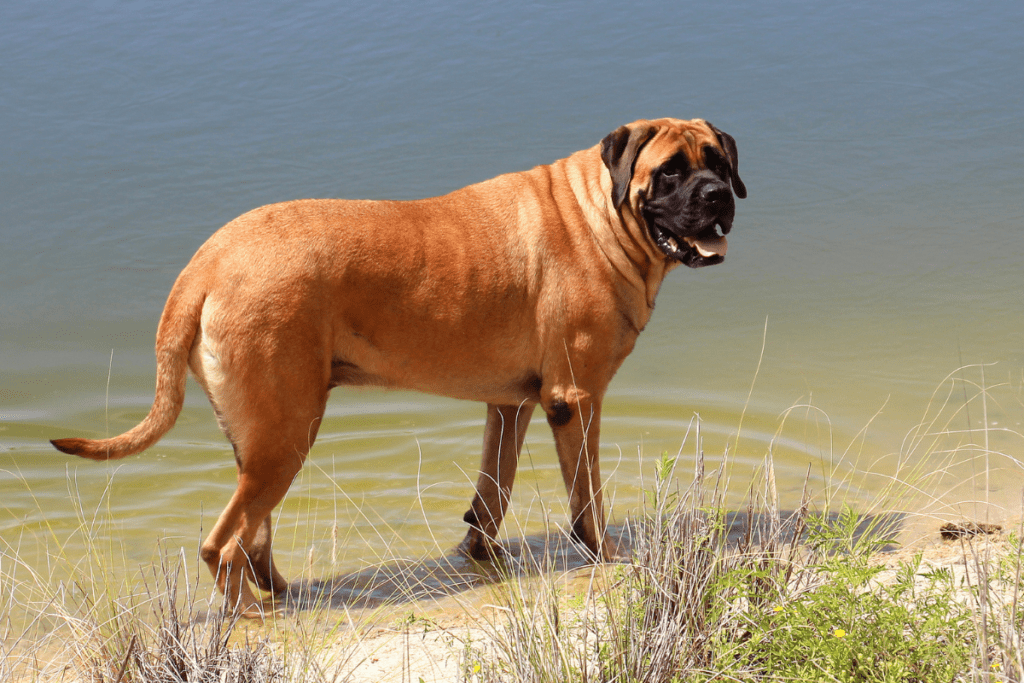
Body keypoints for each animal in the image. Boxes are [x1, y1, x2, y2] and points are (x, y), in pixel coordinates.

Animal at [51, 116, 749, 614]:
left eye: (718, 163)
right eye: (670, 173)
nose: (719, 196)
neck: (601, 216)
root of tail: (204, 265)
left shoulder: (511, 403)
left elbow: (493, 492)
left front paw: (478, 552)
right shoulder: (573, 400)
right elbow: (587, 501)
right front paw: (605, 554)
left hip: (261, 436)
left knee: (254, 537)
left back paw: (290, 594)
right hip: (286, 431)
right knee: (222, 544)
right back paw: (249, 617)